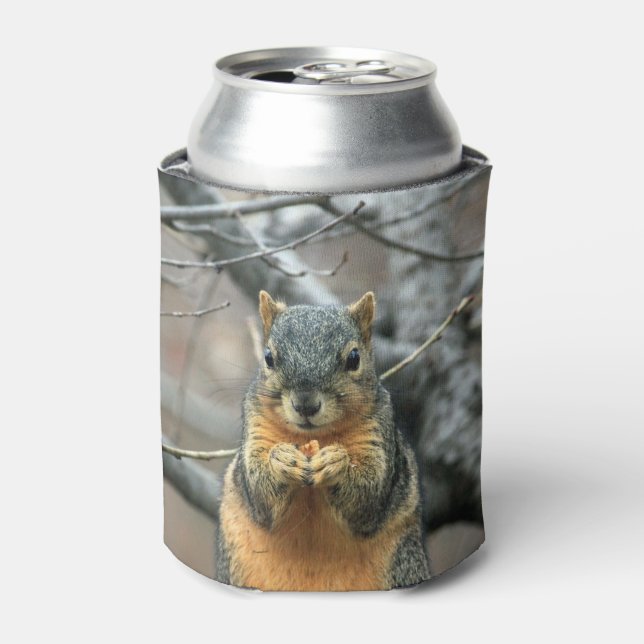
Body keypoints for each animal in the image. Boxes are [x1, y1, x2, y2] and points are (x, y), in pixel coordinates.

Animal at [215, 290, 430, 591]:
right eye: (268, 357)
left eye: (354, 358)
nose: (306, 404)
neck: (312, 437)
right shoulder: (256, 426)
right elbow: (259, 494)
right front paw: (281, 461)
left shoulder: (378, 434)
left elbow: (369, 495)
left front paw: (336, 464)